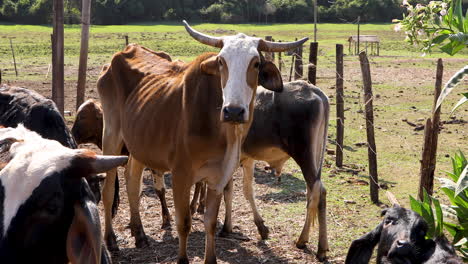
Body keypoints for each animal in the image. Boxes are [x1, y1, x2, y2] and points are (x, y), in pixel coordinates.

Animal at [98, 19, 308, 262]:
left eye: (255, 63)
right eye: (221, 61)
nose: (233, 111)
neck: (221, 130)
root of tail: (123, 53)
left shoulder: (219, 177)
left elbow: (210, 223)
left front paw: (211, 257)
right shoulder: (181, 176)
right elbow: (184, 223)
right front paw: (182, 259)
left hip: (139, 144)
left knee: (132, 182)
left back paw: (139, 233)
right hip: (111, 134)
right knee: (108, 190)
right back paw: (111, 240)